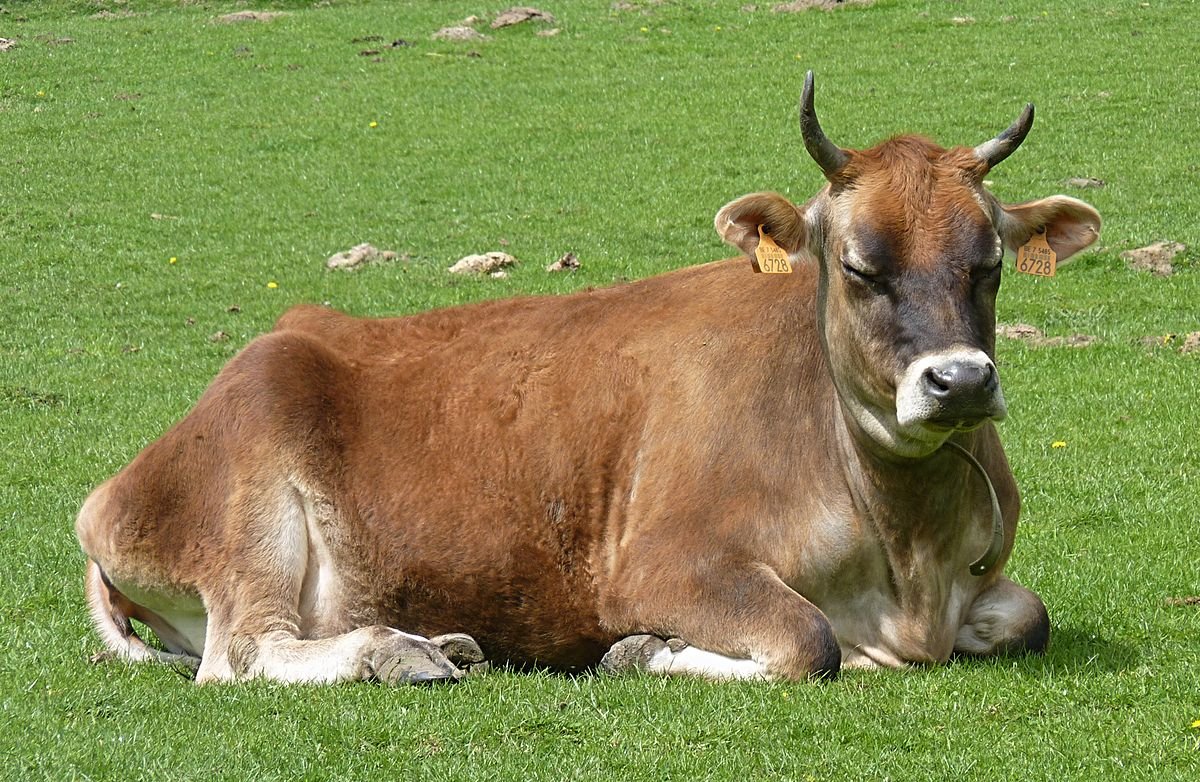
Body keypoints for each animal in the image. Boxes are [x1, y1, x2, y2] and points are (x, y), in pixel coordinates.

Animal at [76, 73, 1101, 684]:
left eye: (989, 265)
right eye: (857, 266)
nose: (958, 382)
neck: (905, 556)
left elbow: (1031, 616)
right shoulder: (661, 561)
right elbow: (807, 644)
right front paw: (645, 650)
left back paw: (439, 641)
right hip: (250, 513)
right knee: (245, 653)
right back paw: (399, 654)